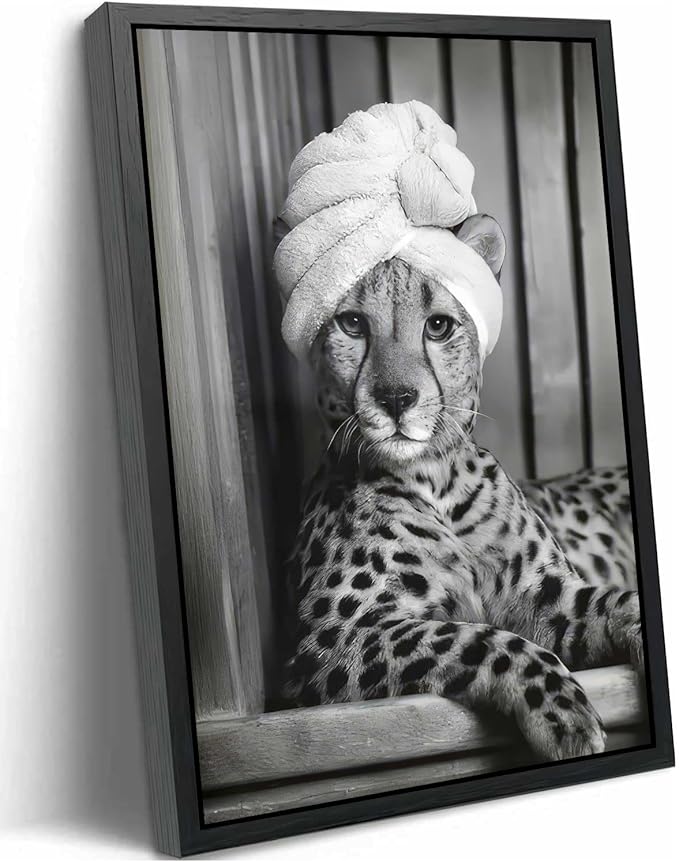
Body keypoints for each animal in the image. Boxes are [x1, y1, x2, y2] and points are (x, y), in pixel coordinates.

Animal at [282, 214, 641, 761]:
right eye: (352, 324)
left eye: (438, 326)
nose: (396, 398)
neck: (435, 481)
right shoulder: (332, 641)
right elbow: (478, 638)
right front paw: (561, 709)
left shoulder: (546, 595)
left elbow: (616, 601)